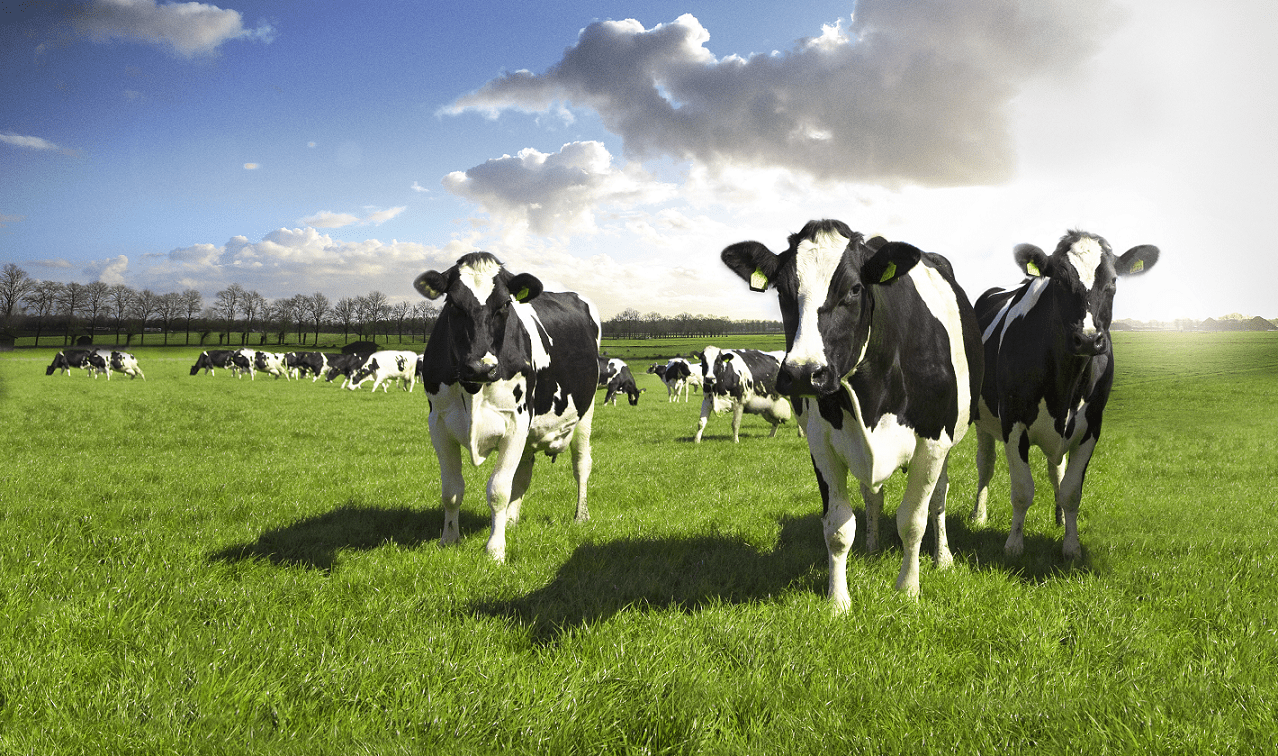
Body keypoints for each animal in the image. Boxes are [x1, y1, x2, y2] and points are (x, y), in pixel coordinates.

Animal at [414, 252, 601, 562]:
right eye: (453, 303)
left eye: (504, 304)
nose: (480, 366)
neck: (473, 387)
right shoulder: (438, 424)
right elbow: (452, 490)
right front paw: (448, 540)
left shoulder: (515, 422)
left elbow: (498, 490)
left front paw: (495, 549)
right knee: (523, 473)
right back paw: (512, 521)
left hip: (586, 412)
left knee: (581, 465)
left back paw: (581, 515)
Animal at [721, 219, 983, 607]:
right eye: (782, 289)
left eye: (855, 289)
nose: (804, 373)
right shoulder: (822, 444)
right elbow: (838, 526)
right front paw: (838, 600)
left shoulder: (934, 441)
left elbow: (913, 520)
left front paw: (908, 589)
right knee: (873, 496)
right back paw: (873, 548)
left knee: (939, 498)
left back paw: (943, 557)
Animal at [969, 229, 1159, 561]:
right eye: (1058, 281)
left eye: (1113, 282)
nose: (1088, 339)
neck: (1065, 383)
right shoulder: (1013, 422)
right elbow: (1022, 489)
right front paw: (1014, 544)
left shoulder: (1092, 426)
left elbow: (1071, 490)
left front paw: (1071, 545)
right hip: (982, 419)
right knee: (985, 465)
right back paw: (979, 515)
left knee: (1055, 470)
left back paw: (1058, 518)